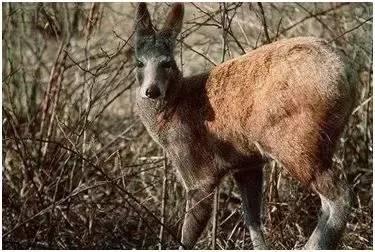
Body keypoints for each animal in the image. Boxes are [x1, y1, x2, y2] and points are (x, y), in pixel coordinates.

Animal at [134, 2, 356, 250]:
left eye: (168, 63)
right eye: (139, 62)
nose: (151, 91)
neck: (174, 108)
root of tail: (347, 72)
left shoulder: (197, 170)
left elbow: (188, 234)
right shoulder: (247, 164)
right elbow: (252, 219)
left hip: (297, 143)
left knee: (340, 196)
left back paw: (313, 245)